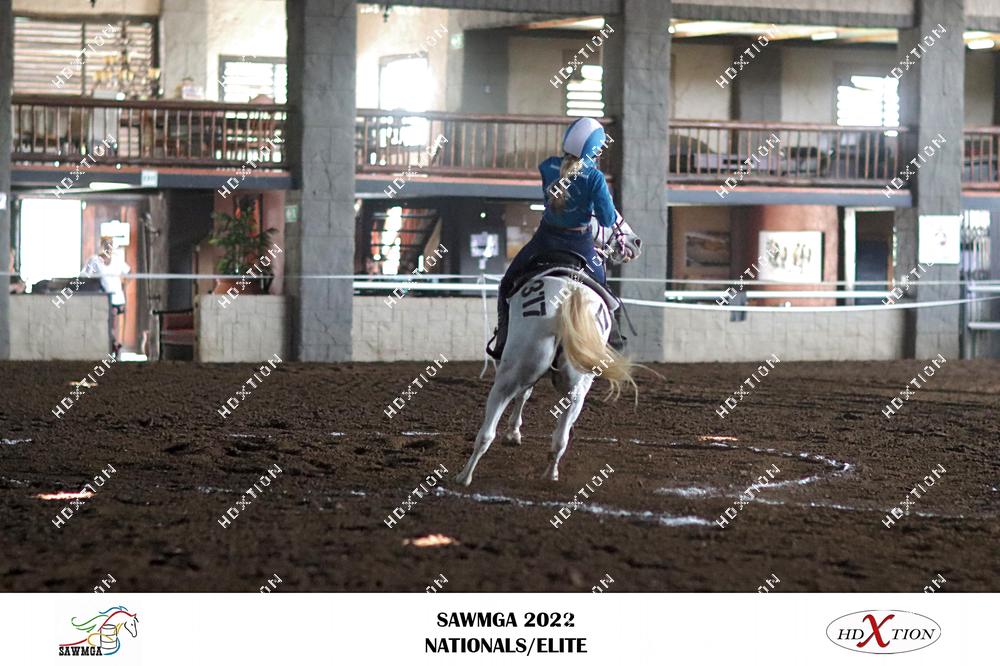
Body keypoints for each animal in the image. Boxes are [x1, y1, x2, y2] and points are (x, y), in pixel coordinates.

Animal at [456, 214, 642, 486]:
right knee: (559, 438)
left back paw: (465, 476)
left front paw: (513, 434)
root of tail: (570, 296)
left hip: (511, 373)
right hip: (575, 385)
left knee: (489, 431)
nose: (635, 242)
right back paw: (550, 473)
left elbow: (525, 395)